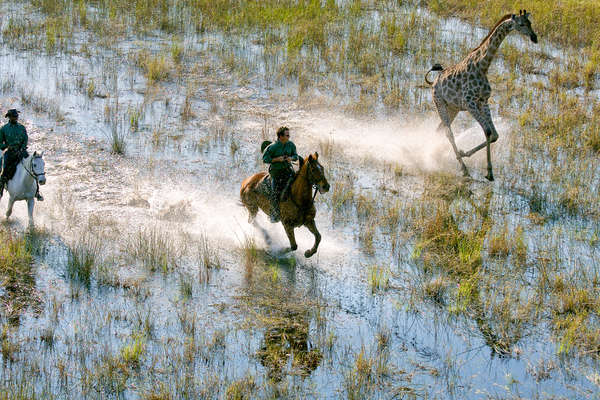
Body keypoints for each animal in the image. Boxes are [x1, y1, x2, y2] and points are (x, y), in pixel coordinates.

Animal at [426, 9, 540, 181]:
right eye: (521, 24)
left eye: (530, 23)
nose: (534, 38)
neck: (482, 66)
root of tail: (433, 82)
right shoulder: (469, 103)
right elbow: (487, 131)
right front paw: (487, 170)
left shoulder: (483, 102)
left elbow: (494, 135)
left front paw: (469, 157)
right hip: (439, 103)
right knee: (448, 133)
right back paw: (463, 168)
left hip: (453, 108)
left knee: (440, 130)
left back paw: (437, 155)